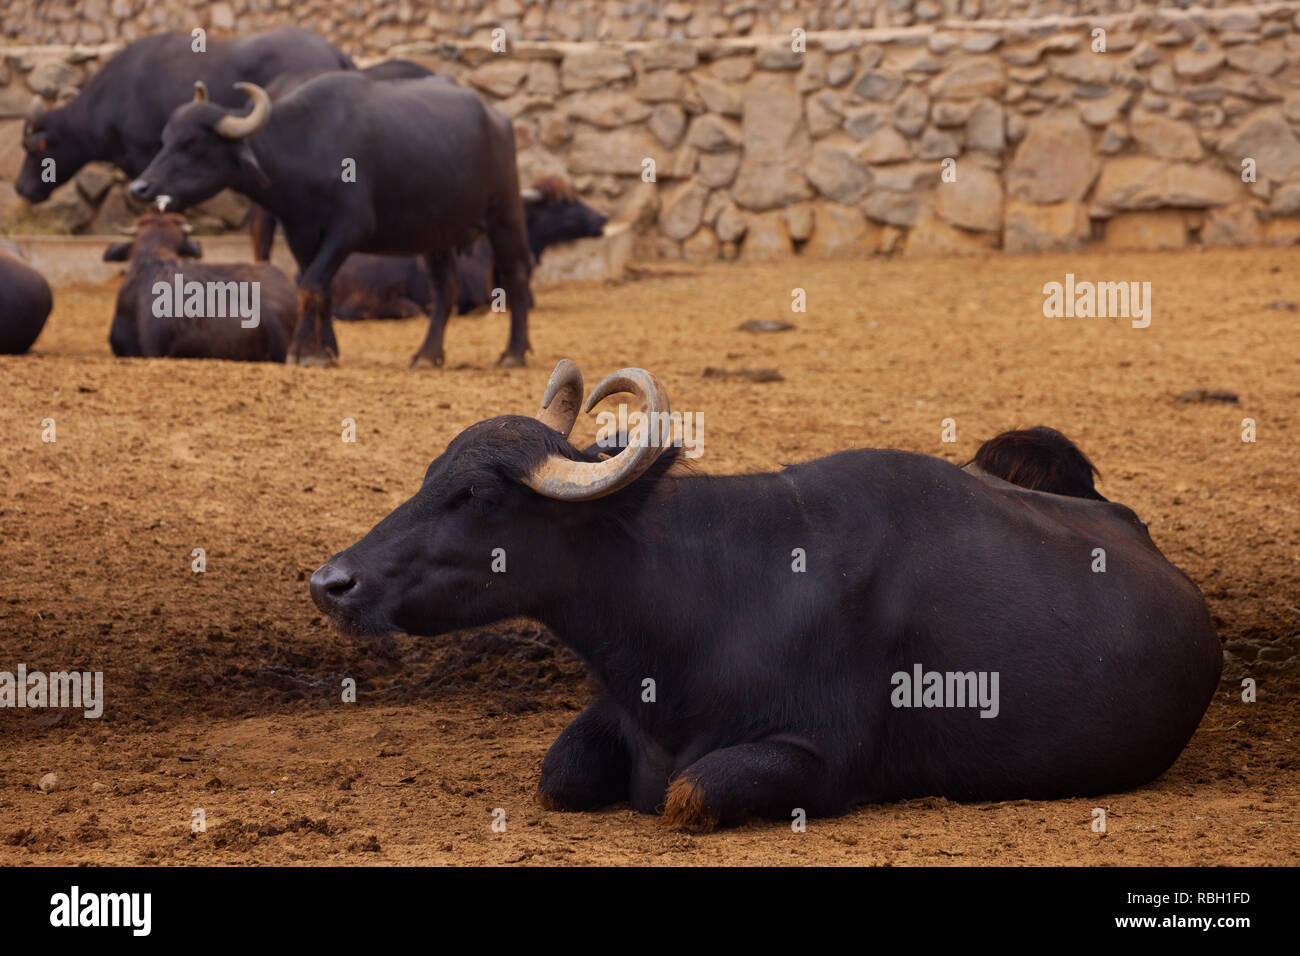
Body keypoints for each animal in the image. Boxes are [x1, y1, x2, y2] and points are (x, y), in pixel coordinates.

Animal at [130, 73, 533, 366]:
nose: (140, 187)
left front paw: (301, 352)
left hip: (505, 215)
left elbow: (311, 285)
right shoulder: (300, 233)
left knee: (516, 275)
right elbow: (319, 289)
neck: (307, 146)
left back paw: (514, 353)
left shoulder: (349, 230)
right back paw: (427, 355)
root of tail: (498, 120)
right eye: (166, 138)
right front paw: (323, 350)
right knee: (445, 288)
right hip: (435, 235)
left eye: (193, 144)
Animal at [309, 358, 1222, 832]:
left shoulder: (824, 757)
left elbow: (687, 795)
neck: (710, 600)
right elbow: (559, 775)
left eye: (478, 498)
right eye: (432, 474)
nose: (331, 581)